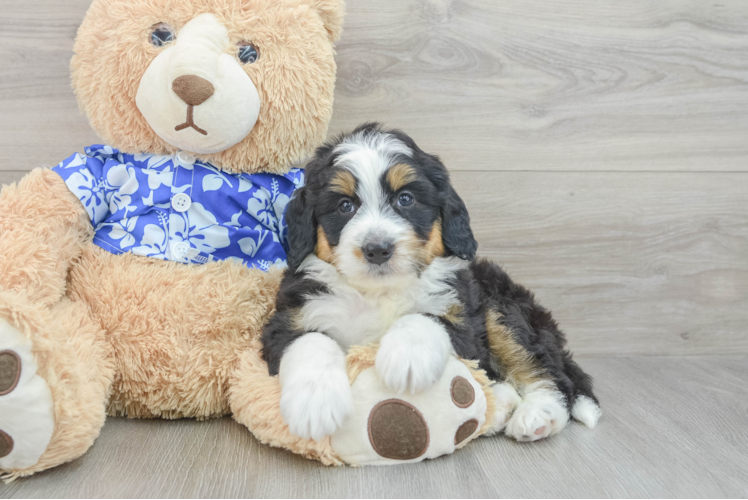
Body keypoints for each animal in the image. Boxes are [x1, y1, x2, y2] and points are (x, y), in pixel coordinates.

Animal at [262, 124, 600, 442]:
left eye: (405, 199)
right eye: (345, 205)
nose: (378, 249)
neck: (378, 292)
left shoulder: (462, 320)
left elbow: (425, 318)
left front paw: (407, 357)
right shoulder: (290, 317)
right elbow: (311, 342)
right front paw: (314, 403)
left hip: (502, 310)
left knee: (550, 374)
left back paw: (538, 415)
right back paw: (501, 405)